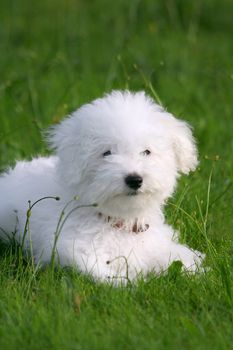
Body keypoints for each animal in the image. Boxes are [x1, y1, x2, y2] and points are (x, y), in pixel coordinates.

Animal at [0, 90, 204, 282]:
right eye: (107, 153)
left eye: (147, 152)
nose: (134, 179)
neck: (118, 220)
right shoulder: (69, 248)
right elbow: (98, 271)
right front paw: (129, 284)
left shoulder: (155, 242)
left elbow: (176, 256)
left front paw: (196, 269)